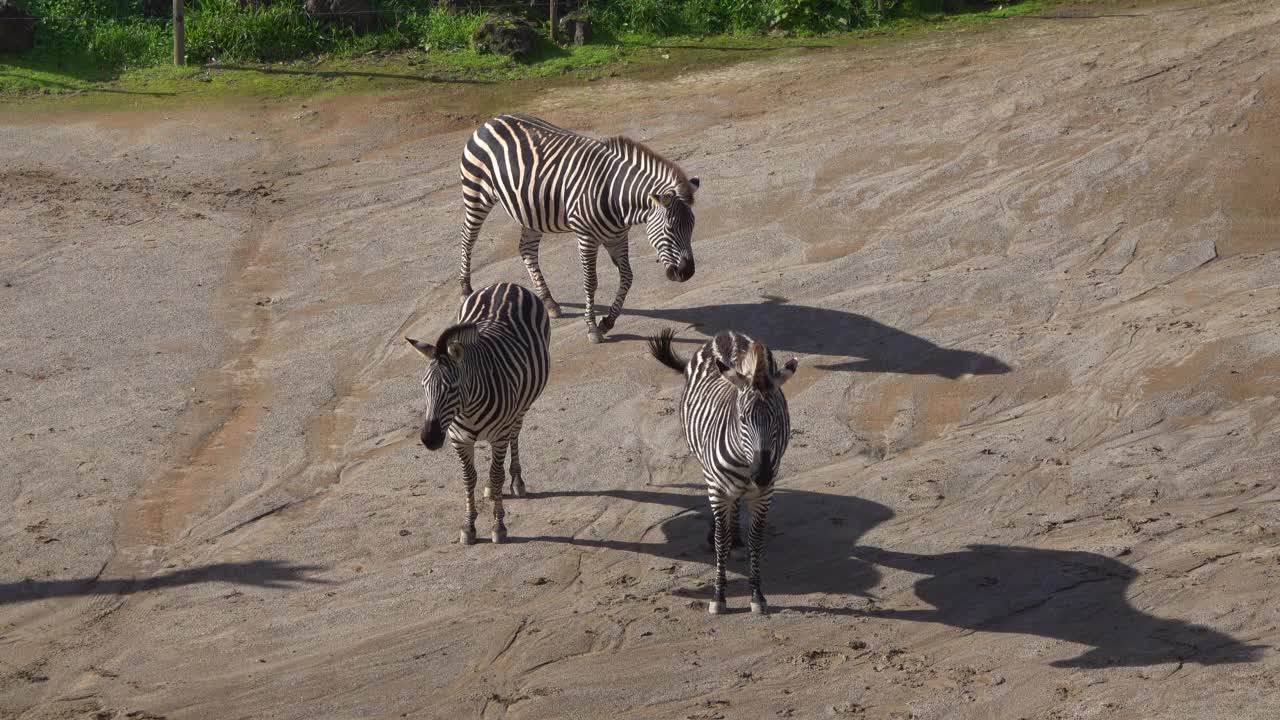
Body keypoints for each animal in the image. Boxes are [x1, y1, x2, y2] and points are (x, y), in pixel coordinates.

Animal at [404, 280, 550, 543]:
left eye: (452, 388)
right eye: (423, 387)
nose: (429, 439)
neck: (467, 410)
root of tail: (505, 283)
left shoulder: (499, 436)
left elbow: (497, 474)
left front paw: (498, 527)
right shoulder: (458, 439)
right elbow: (468, 478)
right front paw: (469, 526)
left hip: (521, 408)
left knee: (514, 435)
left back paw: (516, 481)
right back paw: (492, 490)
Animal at [458, 113, 701, 343]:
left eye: (692, 227)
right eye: (669, 228)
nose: (687, 273)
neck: (616, 197)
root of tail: (493, 120)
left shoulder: (617, 238)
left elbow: (627, 278)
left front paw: (607, 322)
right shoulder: (586, 237)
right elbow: (590, 282)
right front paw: (592, 328)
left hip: (531, 211)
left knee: (526, 249)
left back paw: (549, 302)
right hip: (476, 194)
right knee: (467, 237)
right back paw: (465, 288)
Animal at [650, 327, 798, 614]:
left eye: (777, 418)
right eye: (742, 419)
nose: (762, 474)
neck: (745, 461)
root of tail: (727, 334)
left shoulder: (765, 494)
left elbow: (756, 539)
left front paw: (757, 594)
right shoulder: (717, 488)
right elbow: (721, 540)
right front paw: (719, 595)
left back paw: (737, 539)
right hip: (707, 469)